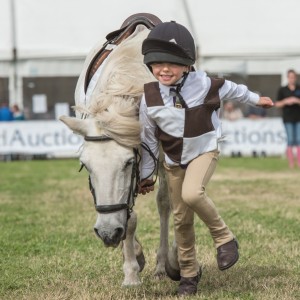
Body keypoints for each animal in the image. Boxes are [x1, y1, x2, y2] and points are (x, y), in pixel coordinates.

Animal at [60, 25, 179, 286]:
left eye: (129, 162)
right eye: (86, 166)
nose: (107, 233)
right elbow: (129, 218)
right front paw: (133, 266)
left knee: (164, 203)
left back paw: (163, 264)